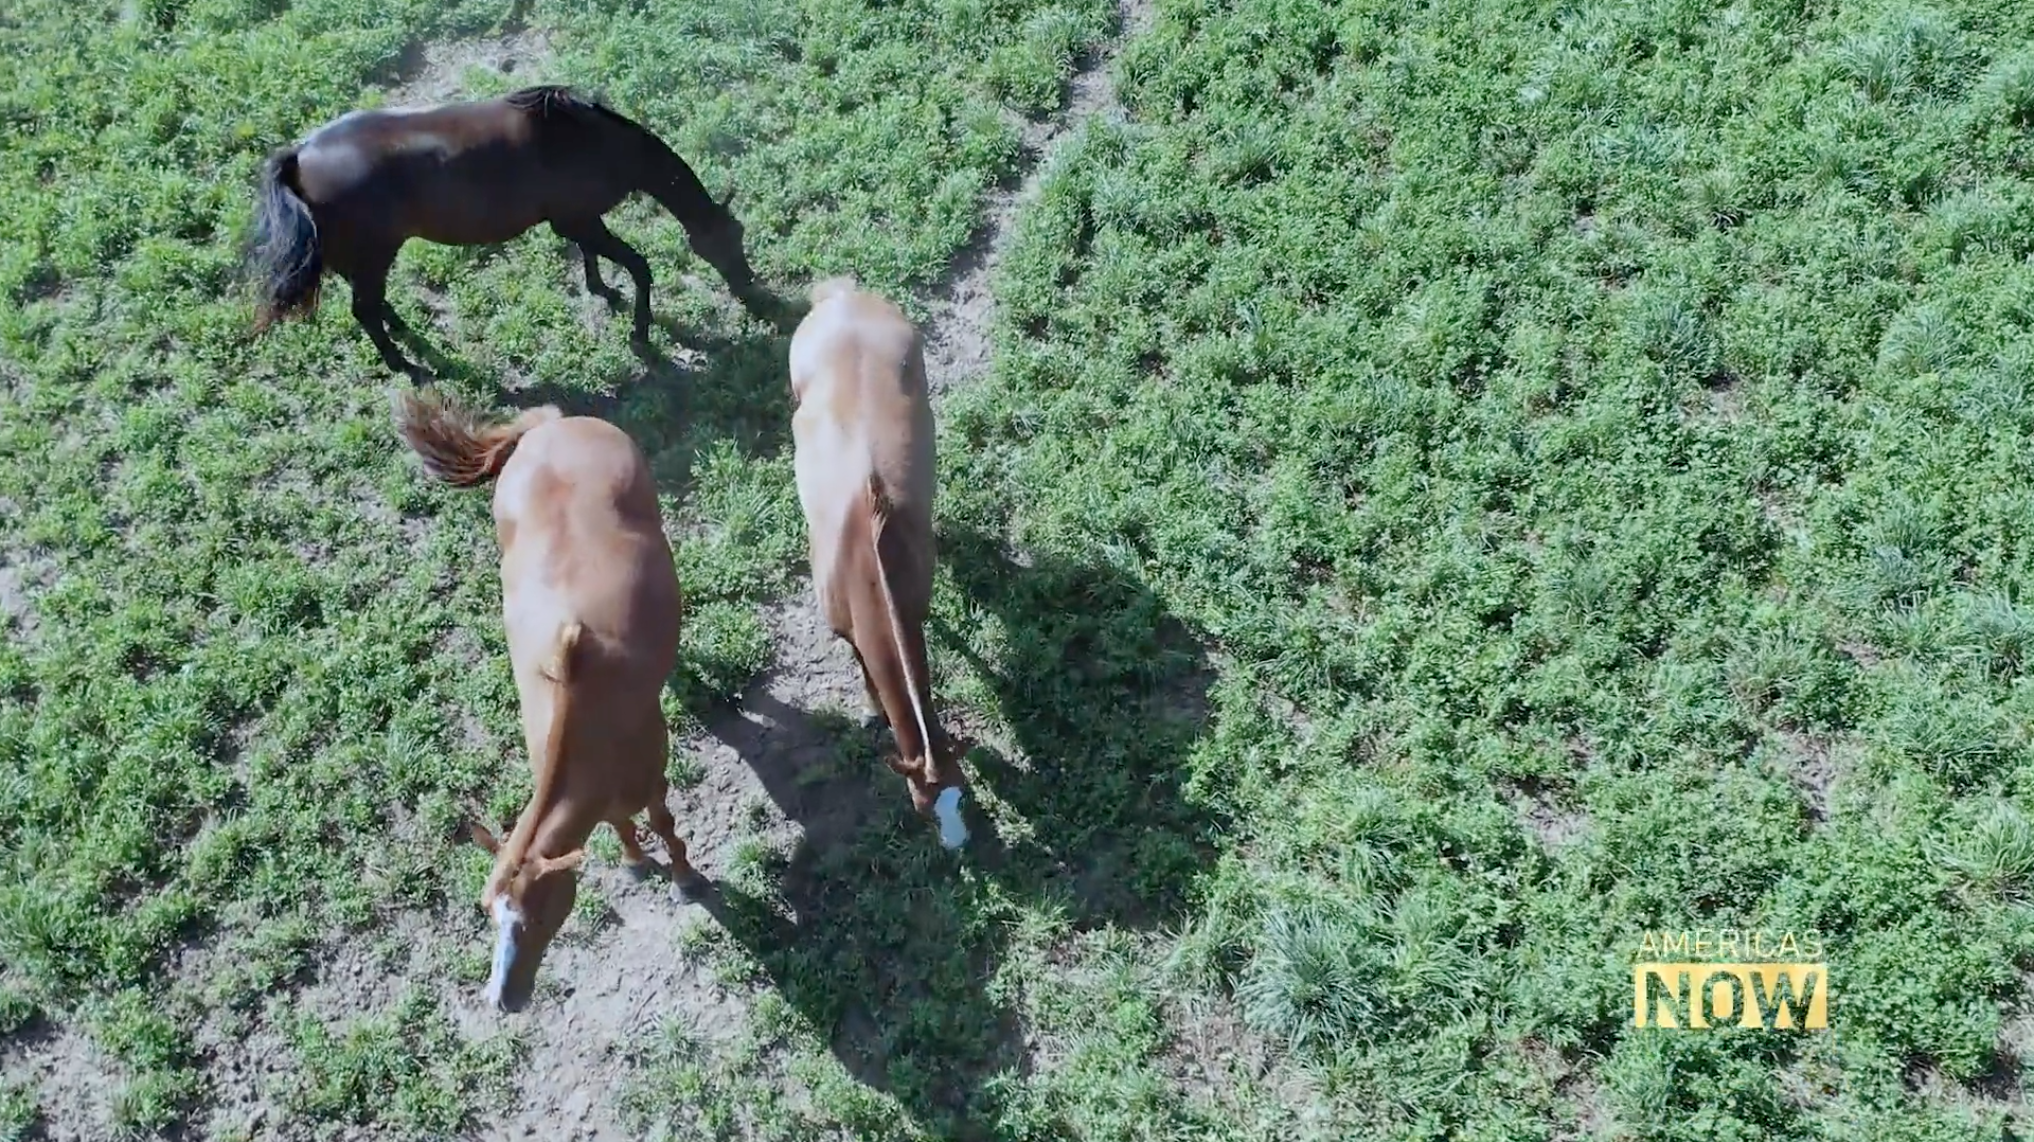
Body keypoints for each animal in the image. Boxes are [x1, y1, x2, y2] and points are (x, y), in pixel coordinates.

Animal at [248, 84, 765, 375]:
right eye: (730, 241)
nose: (753, 291)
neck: (590, 139)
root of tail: (299, 156)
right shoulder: (579, 219)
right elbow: (640, 267)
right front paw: (640, 332)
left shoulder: (577, 221)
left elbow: (592, 257)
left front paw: (602, 290)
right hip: (375, 253)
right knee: (364, 310)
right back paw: (405, 364)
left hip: (360, 257)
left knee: (371, 305)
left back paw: (403, 332)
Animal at [392, 386, 697, 1012]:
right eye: (488, 912)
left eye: (534, 916)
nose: (500, 997)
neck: (586, 708)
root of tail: (551, 426)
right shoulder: (603, 796)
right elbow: (619, 824)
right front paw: (634, 864)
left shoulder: (653, 770)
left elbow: (662, 819)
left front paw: (683, 878)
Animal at [788, 275, 971, 848]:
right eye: (923, 809)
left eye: (962, 797)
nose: (960, 844)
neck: (867, 559)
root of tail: (843, 298)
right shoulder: (843, 624)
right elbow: (864, 670)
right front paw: (873, 712)